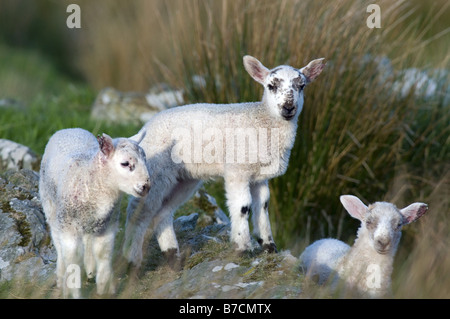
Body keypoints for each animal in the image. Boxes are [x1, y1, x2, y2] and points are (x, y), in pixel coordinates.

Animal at [38, 127, 149, 298]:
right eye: (125, 163)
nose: (146, 186)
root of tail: (70, 129)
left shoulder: (108, 225)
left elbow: (103, 254)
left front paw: (104, 288)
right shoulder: (69, 228)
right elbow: (73, 260)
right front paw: (75, 291)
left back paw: (90, 271)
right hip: (51, 206)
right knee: (59, 245)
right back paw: (61, 278)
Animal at [122, 54, 326, 268]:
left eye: (301, 86)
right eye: (271, 86)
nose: (288, 108)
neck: (262, 120)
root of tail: (144, 129)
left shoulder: (260, 176)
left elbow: (262, 206)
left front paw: (269, 246)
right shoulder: (238, 170)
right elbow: (243, 207)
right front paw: (241, 248)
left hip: (183, 178)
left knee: (162, 212)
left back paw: (173, 258)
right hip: (155, 171)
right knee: (139, 212)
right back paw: (132, 260)